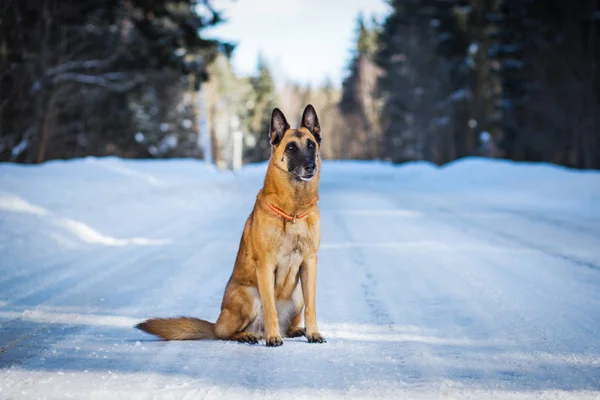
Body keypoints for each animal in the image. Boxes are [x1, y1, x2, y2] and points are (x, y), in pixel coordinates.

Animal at [136, 104, 326, 346]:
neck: (293, 211)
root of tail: (215, 322)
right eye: (291, 147)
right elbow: (270, 308)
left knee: (289, 323)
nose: (310, 166)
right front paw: (272, 338)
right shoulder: (266, 266)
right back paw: (250, 335)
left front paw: (313, 333)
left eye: (311, 145)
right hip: (249, 295)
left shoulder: (310, 264)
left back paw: (294, 331)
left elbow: (312, 307)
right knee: (225, 332)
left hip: (298, 294)